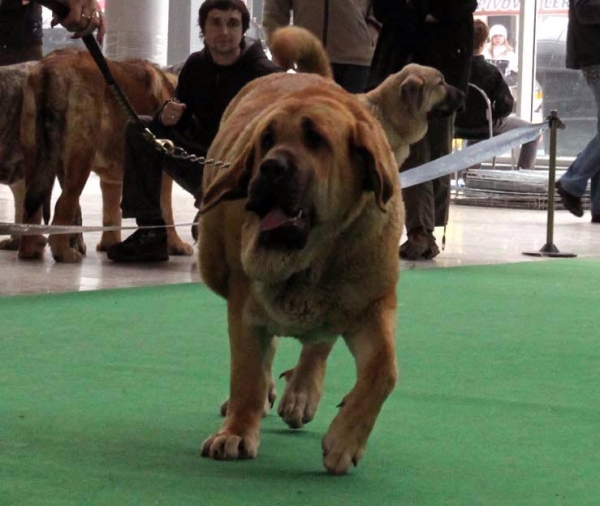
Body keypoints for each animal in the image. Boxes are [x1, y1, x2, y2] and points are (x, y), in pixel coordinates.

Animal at [17, 49, 192, 262]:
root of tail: (52, 66)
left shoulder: (111, 181)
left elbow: (111, 213)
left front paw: (110, 244)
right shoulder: (164, 177)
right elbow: (167, 212)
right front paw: (176, 245)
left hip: (36, 156)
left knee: (31, 209)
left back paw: (31, 250)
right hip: (81, 159)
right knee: (64, 203)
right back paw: (64, 253)